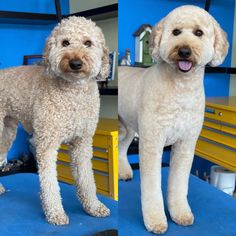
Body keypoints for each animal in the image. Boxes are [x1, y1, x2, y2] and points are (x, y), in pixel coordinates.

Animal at [0, 16, 110, 225]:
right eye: (65, 43)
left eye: (88, 43)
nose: (75, 62)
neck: (73, 93)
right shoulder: (46, 144)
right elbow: (49, 184)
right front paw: (55, 213)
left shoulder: (82, 143)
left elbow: (86, 179)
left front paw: (93, 206)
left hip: (7, 132)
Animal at [119, 5, 228, 234]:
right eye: (176, 32)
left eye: (198, 33)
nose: (184, 51)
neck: (180, 89)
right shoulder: (152, 143)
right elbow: (151, 187)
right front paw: (155, 220)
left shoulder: (185, 144)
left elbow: (179, 184)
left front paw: (180, 213)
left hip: (129, 128)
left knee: (122, 147)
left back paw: (123, 171)